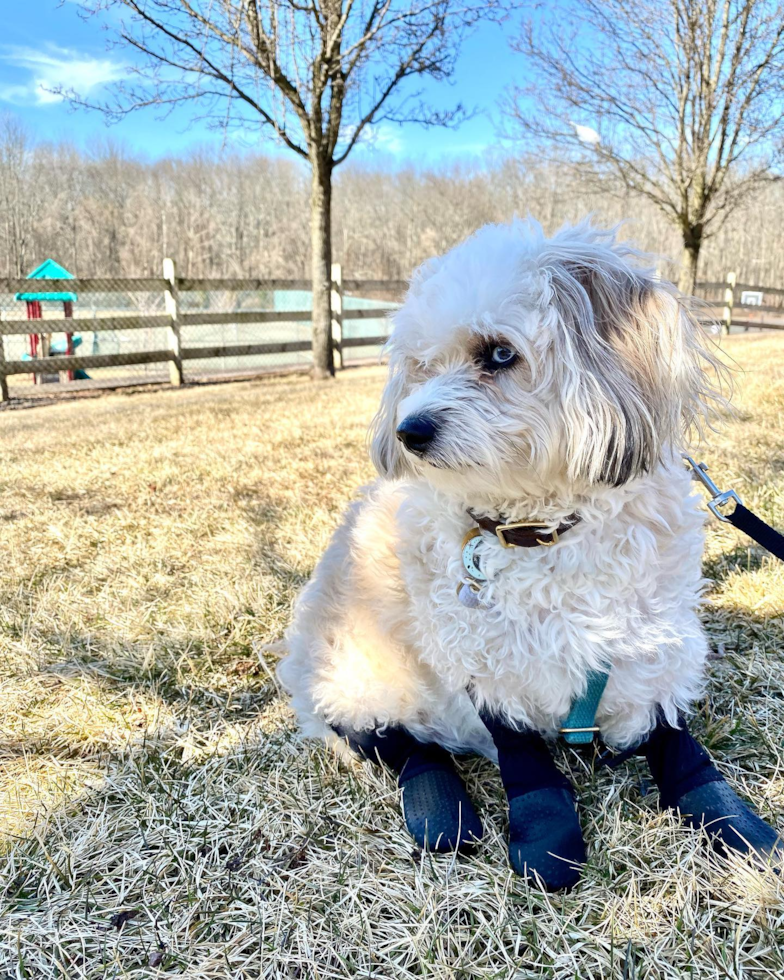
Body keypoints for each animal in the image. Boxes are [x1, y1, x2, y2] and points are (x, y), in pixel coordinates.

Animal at [278, 220, 780, 888]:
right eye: (421, 367)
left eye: (498, 353)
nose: (409, 432)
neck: (543, 528)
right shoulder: (484, 660)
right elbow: (524, 756)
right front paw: (546, 834)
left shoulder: (656, 642)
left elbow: (669, 733)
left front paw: (724, 814)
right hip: (360, 678)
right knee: (400, 742)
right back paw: (440, 810)